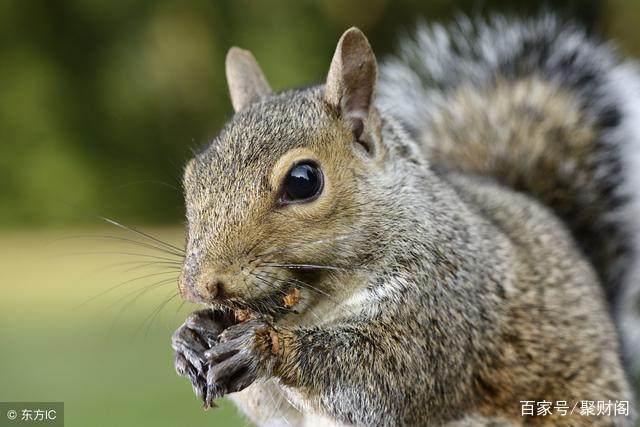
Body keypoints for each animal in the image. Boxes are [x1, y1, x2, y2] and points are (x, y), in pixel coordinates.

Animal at [170, 15, 640, 426]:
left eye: (304, 180)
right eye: (192, 175)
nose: (201, 286)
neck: (316, 306)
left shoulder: (447, 303)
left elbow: (390, 376)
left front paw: (263, 345)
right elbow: (271, 404)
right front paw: (192, 336)